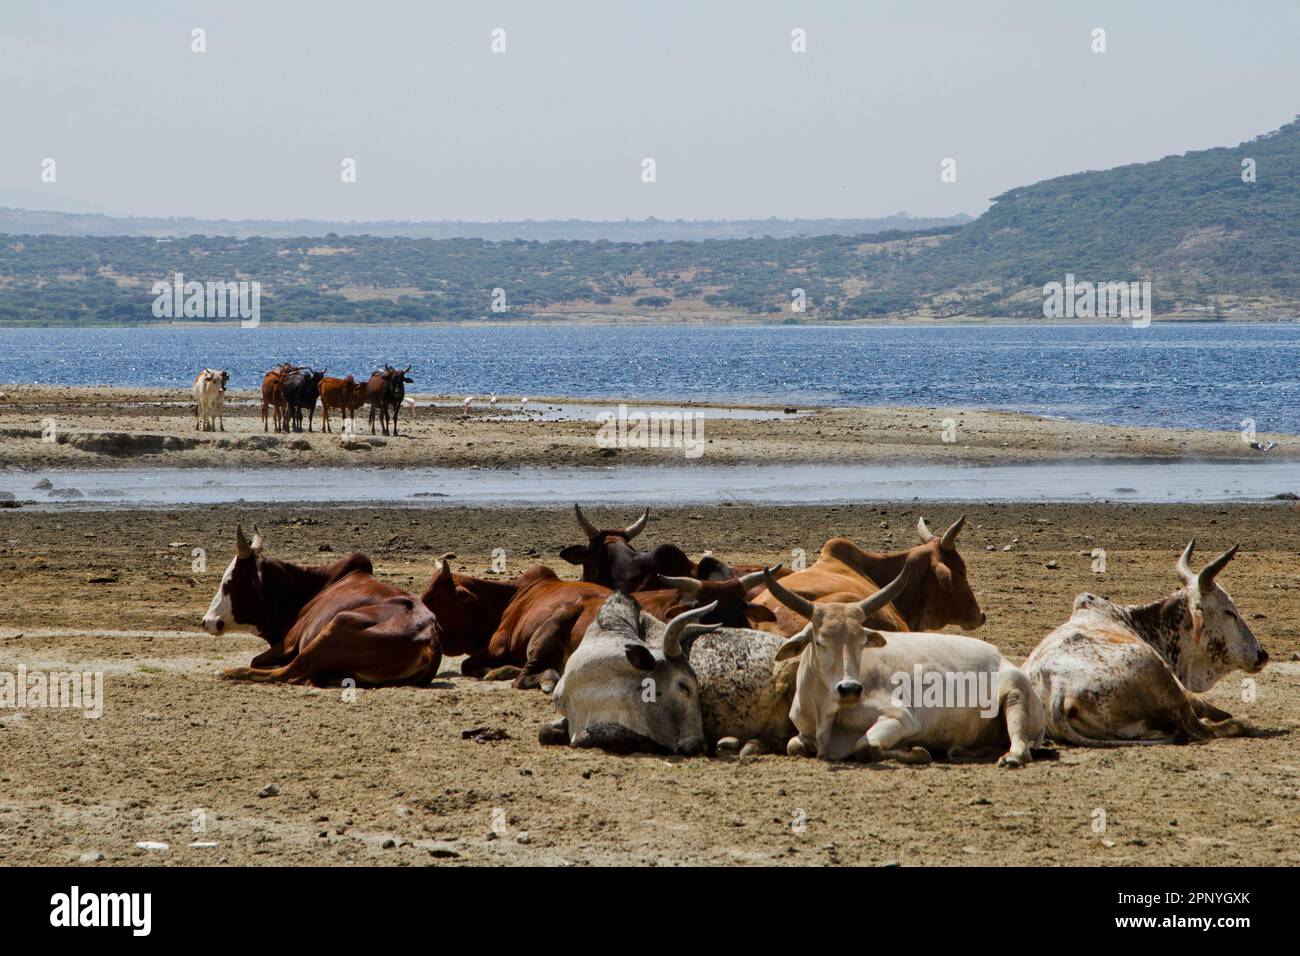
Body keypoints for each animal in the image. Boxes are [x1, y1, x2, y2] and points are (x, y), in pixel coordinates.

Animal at [202, 522, 441, 686]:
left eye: (228, 582)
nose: (207, 621)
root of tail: (429, 640)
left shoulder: (290, 641)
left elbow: (257, 660)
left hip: (335, 625)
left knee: (289, 672)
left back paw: (230, 671)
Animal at [759, 567, 1045, 764]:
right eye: (819, 642)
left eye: (862, 642)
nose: (850, 689)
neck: (824, 715)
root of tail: (1000, 656)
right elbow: (793, 746)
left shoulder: (902, 718)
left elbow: (865, 747)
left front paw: (917, 751)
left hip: (1015, 694)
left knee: (1021, 746)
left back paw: (1011, 757)